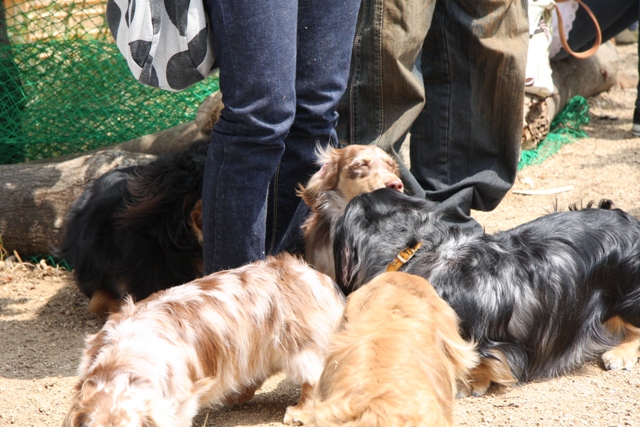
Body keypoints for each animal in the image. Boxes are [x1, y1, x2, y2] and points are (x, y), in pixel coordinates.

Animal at [62, 254, 346, 427]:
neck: (122, 363)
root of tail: (310, 273)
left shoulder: (180, 401)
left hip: (300, 348)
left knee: (312, 380)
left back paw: (299, 412)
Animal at [334, 188, 640, 396]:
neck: (418, 248)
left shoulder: (487, 340)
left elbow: (476, 359)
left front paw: (471, 383)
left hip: (627, 292)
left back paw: (620, 353)